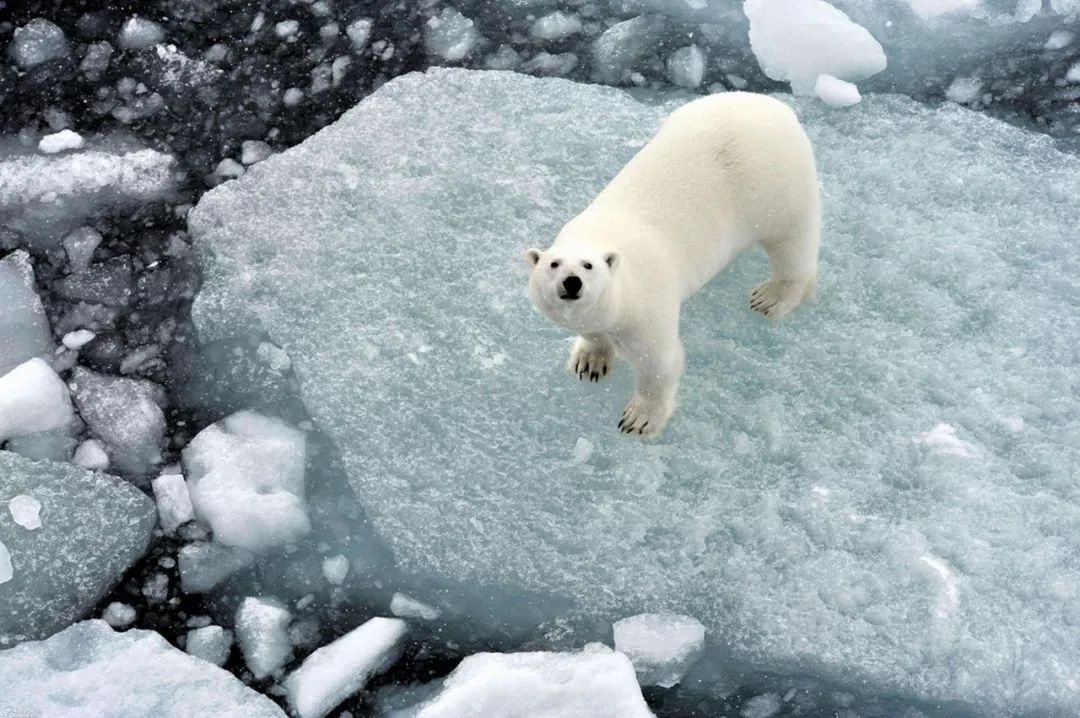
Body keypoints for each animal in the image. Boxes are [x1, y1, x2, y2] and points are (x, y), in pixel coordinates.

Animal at [527, 89, 820, 436]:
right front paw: (589, 361)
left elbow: (658, 362)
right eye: (554, 264)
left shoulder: (646, 305)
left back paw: (772, 296)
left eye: (588, 266)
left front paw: (639, 419)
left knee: (792, 242)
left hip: (776, 187)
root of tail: (778, 107)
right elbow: (594, 333)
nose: (572, 283)